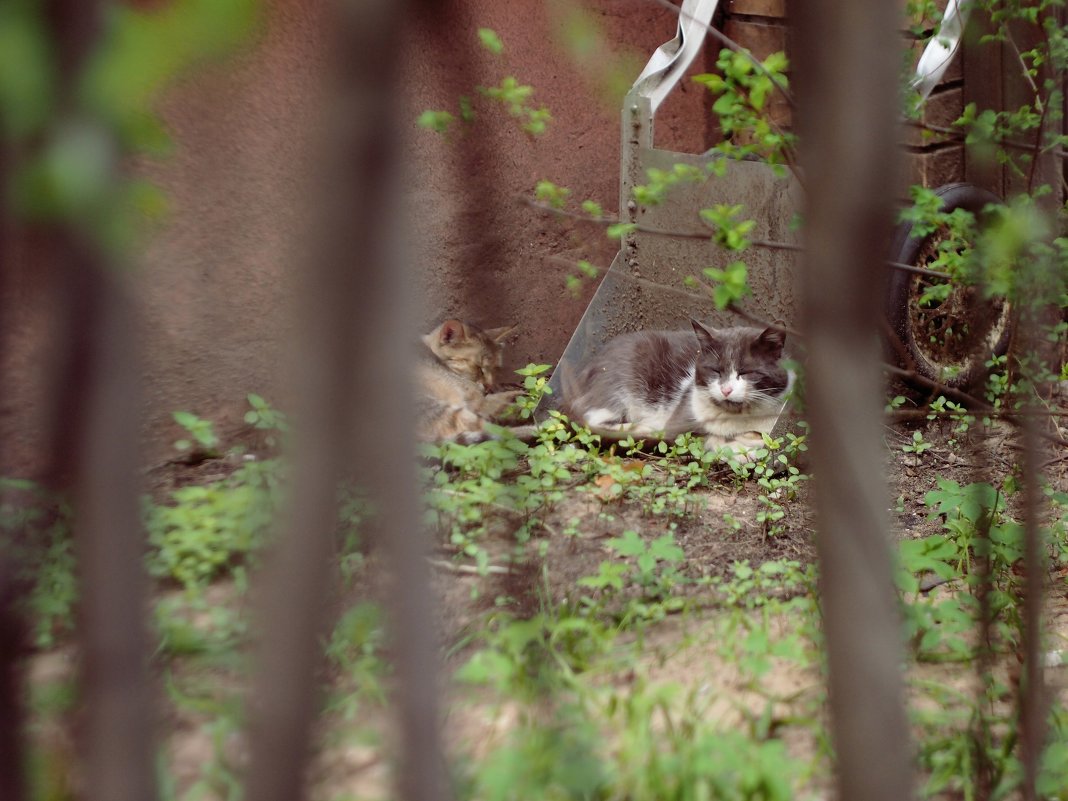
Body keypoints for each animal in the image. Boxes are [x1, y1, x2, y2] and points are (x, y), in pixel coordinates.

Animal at [559, 320, 794, 457]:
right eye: (715, 371)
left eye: (745, 372)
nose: (726, 390)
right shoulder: (681, 422)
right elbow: (702, 438)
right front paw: (737, 447)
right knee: (589, 421)